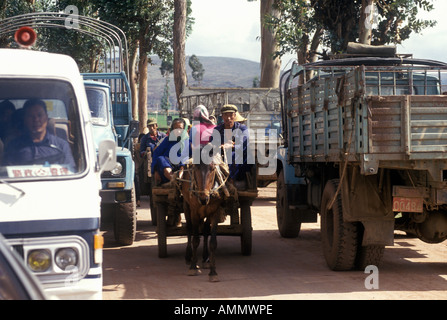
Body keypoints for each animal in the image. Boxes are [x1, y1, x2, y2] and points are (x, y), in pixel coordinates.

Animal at [179, 154, 229, 282]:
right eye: (196, 167)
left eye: (212, 168)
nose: (203, 198)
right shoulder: (194, 212)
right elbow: (195, 239)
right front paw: (193, 267)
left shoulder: (215, 212)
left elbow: (213, 242)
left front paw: (213, 271)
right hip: (186, 206)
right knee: (189, 229)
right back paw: (189, 257)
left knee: (206, 230)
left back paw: (205, 258)